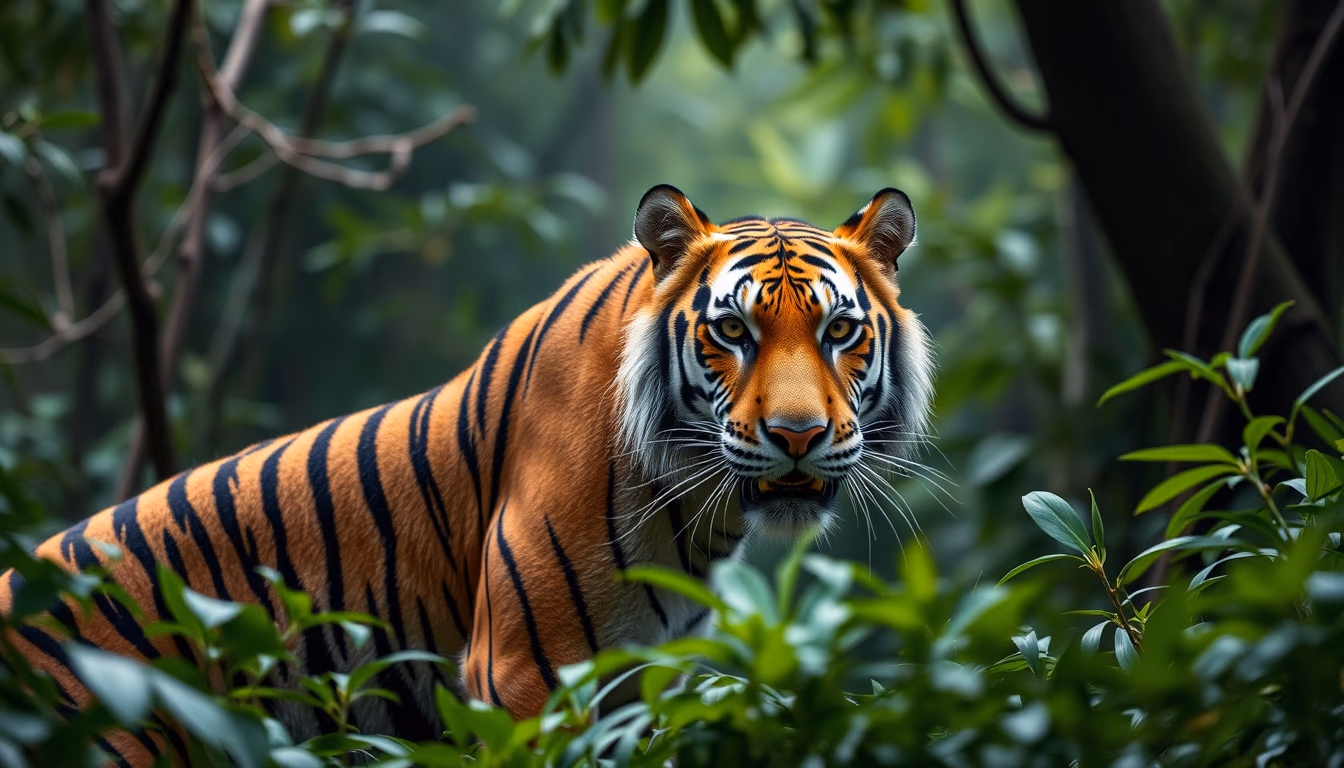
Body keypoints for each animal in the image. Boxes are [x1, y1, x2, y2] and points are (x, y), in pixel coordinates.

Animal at [0, 184, 934, 764]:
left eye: (840, 333)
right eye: (734, 332)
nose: (797, 436)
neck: (700, 515)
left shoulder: (644, 683)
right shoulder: (526, 674)